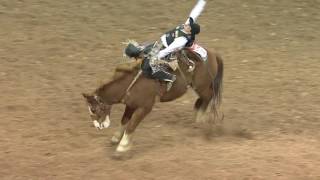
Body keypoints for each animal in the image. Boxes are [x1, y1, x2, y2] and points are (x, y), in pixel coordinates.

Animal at [82, 47, 222, 155]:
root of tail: (213, 54)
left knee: (209, 97)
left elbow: (131, 125)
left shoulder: (145, 107)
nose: (98, 127)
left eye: (93, 109)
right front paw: (116, 138)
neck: (131, 84)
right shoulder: (131, 105)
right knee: (202, 100)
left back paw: (200, 119)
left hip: (203, 87)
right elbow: (125, 121)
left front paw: (122, 147)